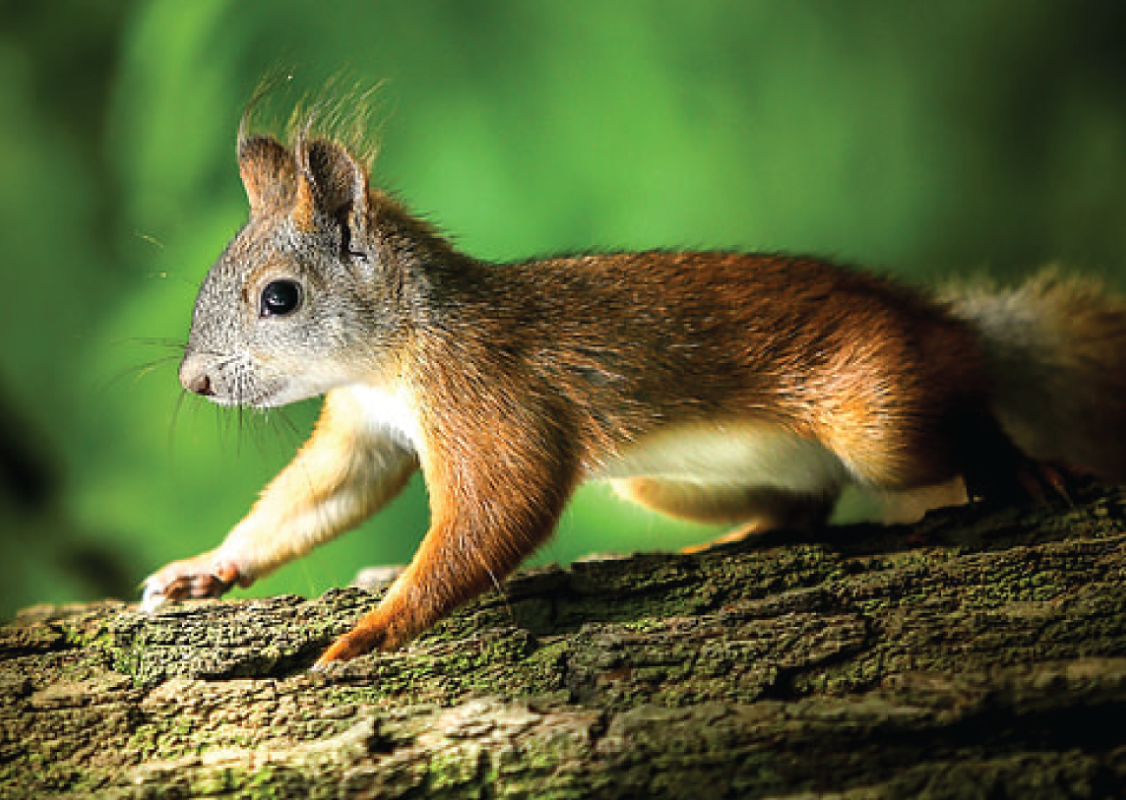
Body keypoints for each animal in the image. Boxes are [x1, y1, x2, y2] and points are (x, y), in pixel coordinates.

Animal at [140, 108, 1126, 671]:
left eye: (279, 298)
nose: (193, 380)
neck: (390, 355)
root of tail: (945, 317)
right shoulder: (365, 425)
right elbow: (317, 499)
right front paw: (208, 566)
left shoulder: (485, 390)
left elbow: (499, 509)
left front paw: (376, 627)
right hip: (666, 481)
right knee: (805, 505)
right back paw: (734, 541)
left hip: (882, 411)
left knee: (956, 417)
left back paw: (1021, 466)